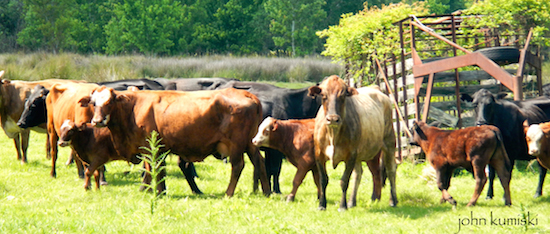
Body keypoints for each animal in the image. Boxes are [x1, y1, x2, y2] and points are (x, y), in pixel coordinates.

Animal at [78, 86, 272, 196]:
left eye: (109, 102)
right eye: (94, 103)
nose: (97, 121)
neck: (133, 108)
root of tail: (248, 94)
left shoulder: (150, 147)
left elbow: (151, 170)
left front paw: (151, 191)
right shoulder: (160, 149)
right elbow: (159, 171)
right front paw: (158, 190)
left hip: (236, 144)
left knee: (238, 166)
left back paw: (229, 192)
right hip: (251, 143)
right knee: (260, 162)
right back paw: (267, 191)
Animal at [308, 76, 398, 211]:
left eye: (343, 96)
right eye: (323, 95)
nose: (333, 119)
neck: (333, 135)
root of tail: (376, 89)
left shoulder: (350, 155)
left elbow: (344, 181)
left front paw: (342, 206)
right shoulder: (319, 155)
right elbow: (323, 180)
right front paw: (322, 205)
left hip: (389, 143)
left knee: (390, 170)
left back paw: (393, 200)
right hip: (365, 152)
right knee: (361, 174)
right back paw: (353, 201)